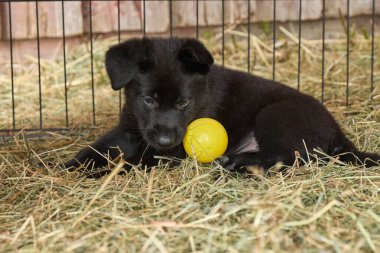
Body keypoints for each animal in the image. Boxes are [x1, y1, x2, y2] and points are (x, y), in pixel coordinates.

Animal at [64, 36, 378, 173]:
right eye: (148, 100)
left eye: (183, 102)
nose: (164, 140)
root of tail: (339, 136)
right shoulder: (128, 127)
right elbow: (99, 147)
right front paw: (72, 165)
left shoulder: (171, 152)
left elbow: (137, 160)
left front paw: (107, 170)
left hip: (275, 115)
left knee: (286, 156)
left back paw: (236, 162)